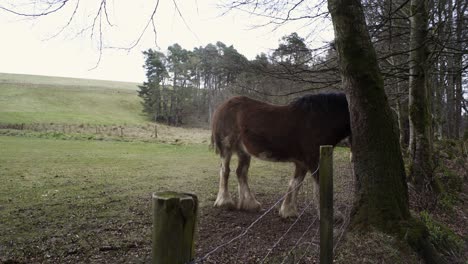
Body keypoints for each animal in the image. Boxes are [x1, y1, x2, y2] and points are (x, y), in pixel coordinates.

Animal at [210, 94, 350, 218]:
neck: (320, 118)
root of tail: (222, 106)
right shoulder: (313, 160)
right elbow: (320, 186)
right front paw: (334, 215)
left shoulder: (302, 162)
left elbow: (295, 183)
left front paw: (288, 211)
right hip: (226, 148)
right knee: (225, 171)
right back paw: (224, 202)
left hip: (243, 152)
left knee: (241, 172)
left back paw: (250, 204)